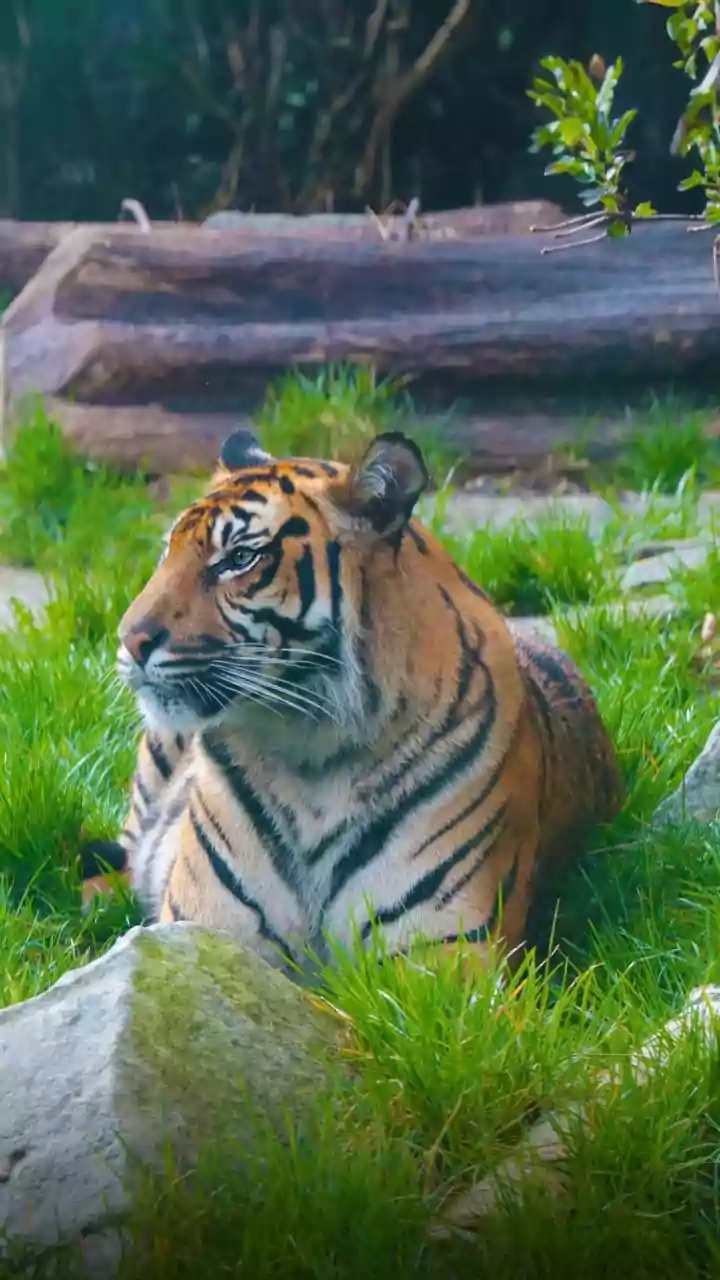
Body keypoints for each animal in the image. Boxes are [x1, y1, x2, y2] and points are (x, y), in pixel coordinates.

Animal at [82, 428, 624, 976]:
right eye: (166, 554)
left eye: (239, 559)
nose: (129, 640)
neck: (309, 750)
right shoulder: (198, 929)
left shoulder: (448, 951)